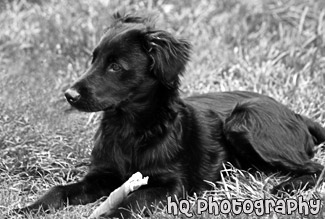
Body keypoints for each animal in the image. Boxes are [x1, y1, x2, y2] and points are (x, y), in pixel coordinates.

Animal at [18, 13, 324, 217]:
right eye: (93, 59)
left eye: (115, 66)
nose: (69, 95)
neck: (129, 128)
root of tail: (296, 114)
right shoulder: (102, 175)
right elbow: (59, 190)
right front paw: (28, 208)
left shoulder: (172, 185)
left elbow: (133, 200)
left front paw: (109, 214)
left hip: (246, 119)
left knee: (315, 167)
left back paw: (285, 188)